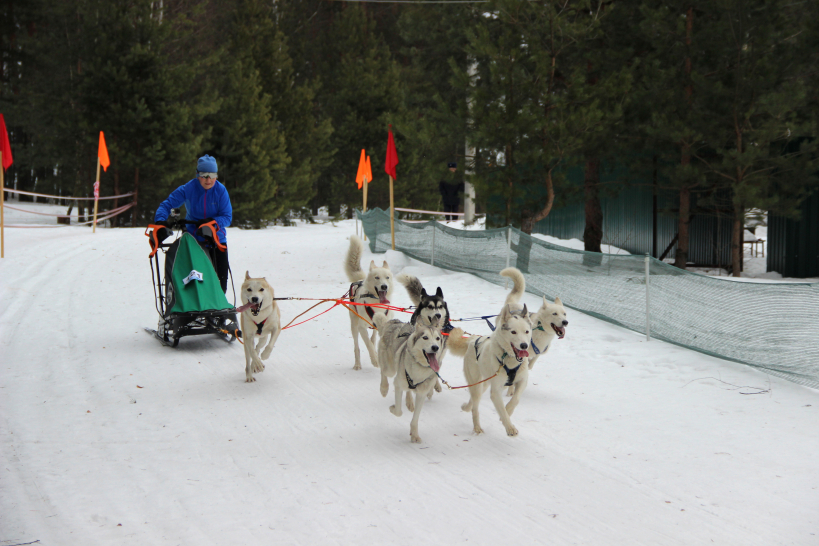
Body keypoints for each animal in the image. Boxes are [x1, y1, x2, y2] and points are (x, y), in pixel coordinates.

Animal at [344, 235, 396, 370]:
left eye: (387, 277)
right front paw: (375, 360)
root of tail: (360, 280)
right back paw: (357, 364)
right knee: (357, 347)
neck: (377, 304)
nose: (384, 286)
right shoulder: (362, 327)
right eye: (377, 277)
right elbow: (368, 345)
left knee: (373, 338)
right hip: (354, 325)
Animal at [374, 310, 464, 442]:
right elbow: (398, 411)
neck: (419, 368)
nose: (435, 347)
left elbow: (415, 418)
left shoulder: (422, 393)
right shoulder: (398, 384)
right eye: (425, 337)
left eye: (437, 338)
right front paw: (392, 408)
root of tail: (394, 322)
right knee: (383, 372)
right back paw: (384, 388)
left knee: (408, 390)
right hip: (389, 368)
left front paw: (415, 435)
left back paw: (409, 402)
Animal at [446, 302, 536, 434]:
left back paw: (466, 407)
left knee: (473, 399)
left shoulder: (522, 381)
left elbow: (516, 399)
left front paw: (508, 410)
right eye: (513, 332)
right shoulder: (496, 391)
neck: (508, 359)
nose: (524, 345)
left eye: (526, 331)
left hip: (485, 384)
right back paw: (477, 427)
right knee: (475, 406)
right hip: (477, 384)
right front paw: (510, 428)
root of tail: (473, 339)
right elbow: (502, 410)